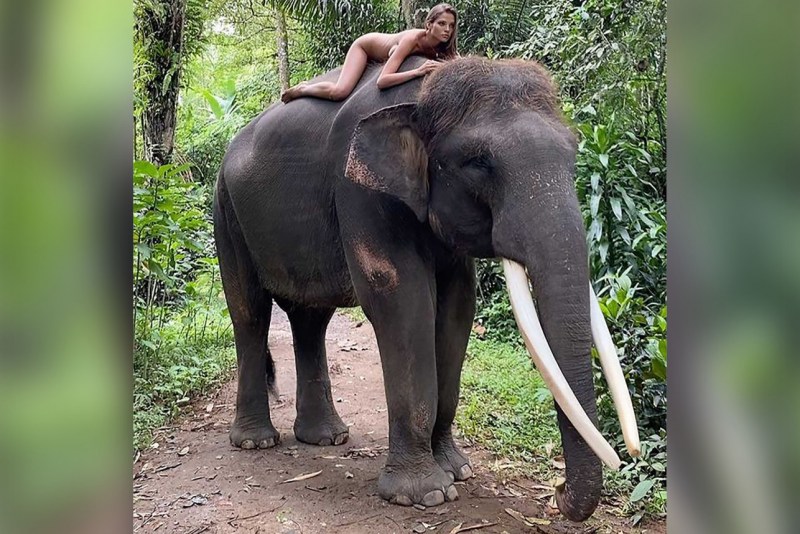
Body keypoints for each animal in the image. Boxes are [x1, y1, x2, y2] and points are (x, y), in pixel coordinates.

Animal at [213, 55, 639, 521]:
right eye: (478, 162)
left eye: (574, 152)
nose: (558, 491)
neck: (421, 94)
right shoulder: (359, 189)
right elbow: (401, 299)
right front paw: (424, 494)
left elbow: (458, 306)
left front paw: (458, 471)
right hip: (226, 211)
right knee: (250, 312)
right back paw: (257, 441)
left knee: (311, 318)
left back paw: (326, 437)